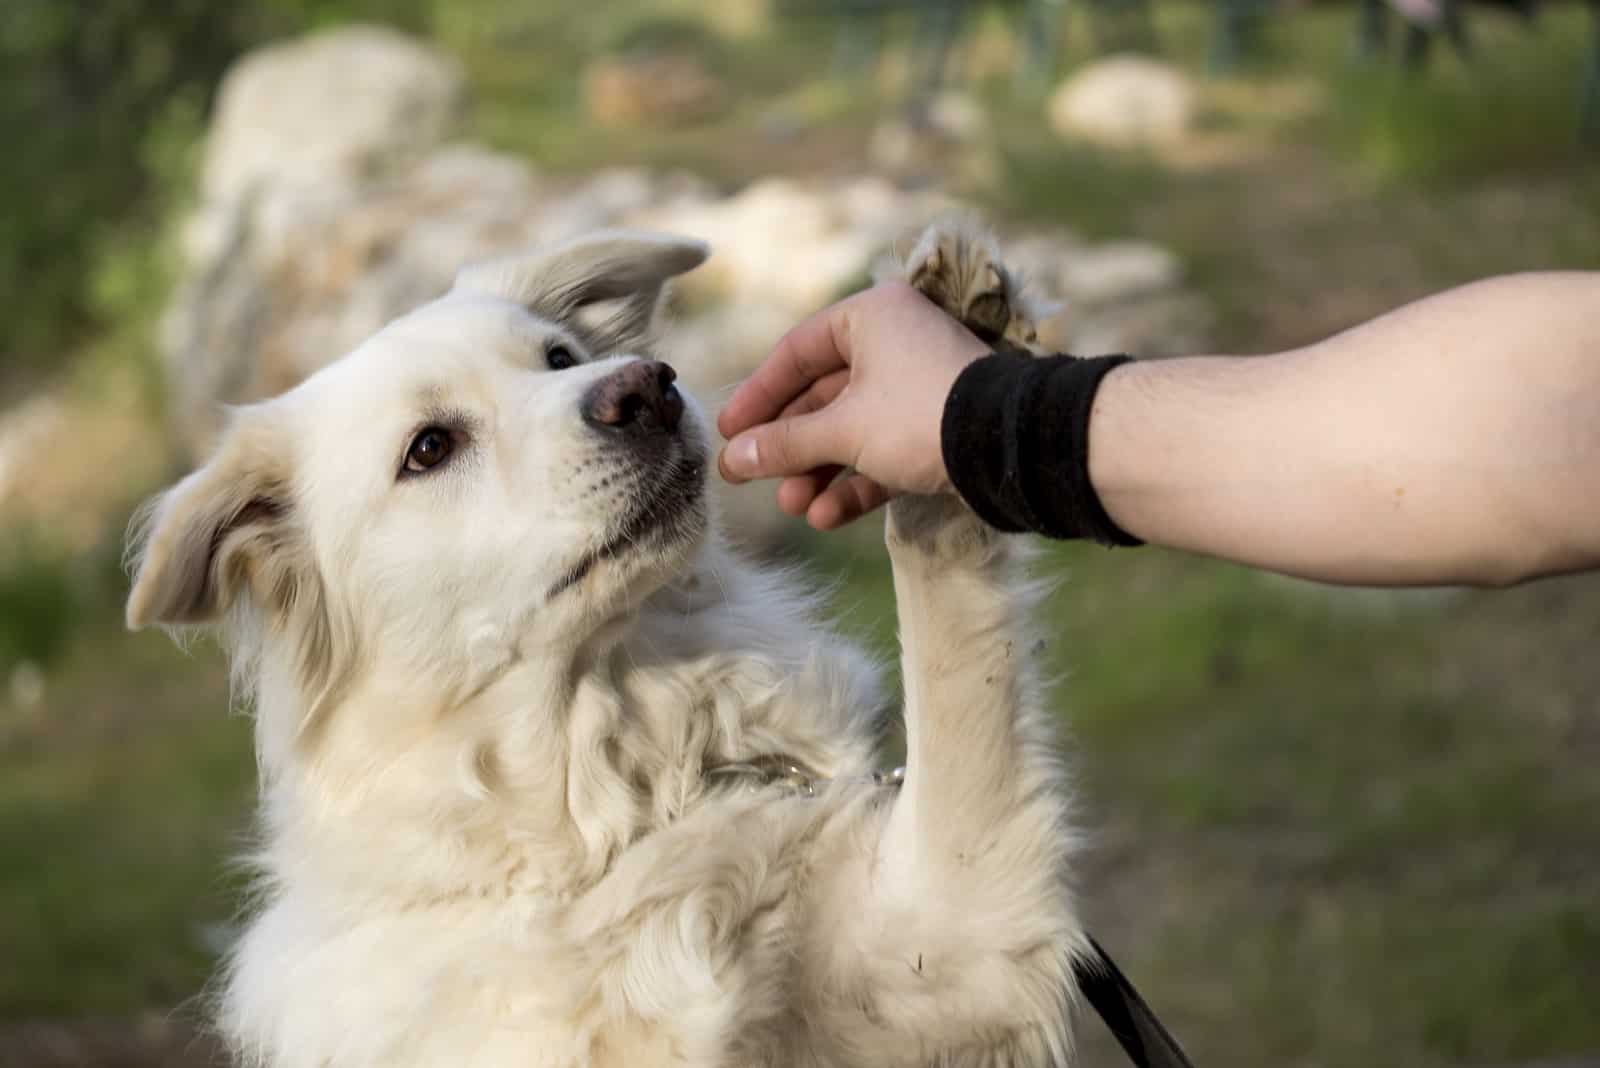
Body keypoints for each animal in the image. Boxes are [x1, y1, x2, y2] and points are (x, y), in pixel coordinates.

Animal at [128, 220, 1088, 1061]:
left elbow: (952, 659)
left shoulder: (959, 944)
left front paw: (939, 357)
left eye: (560, 358)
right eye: (428, 449)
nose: (647, 388)